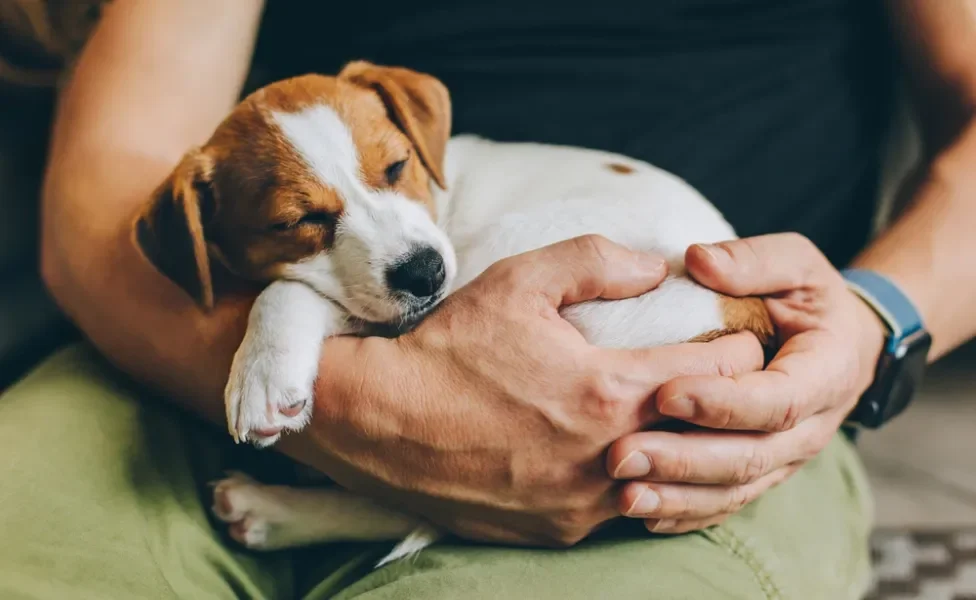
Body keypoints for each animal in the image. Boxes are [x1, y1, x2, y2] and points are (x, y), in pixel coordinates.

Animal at [133, 61, 776, 568]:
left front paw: (262, 372)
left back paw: (274, 507)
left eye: (397, 167)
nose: (425, 273)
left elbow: (288, 292)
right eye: (296, 221)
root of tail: (740, 316)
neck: (444, 199)